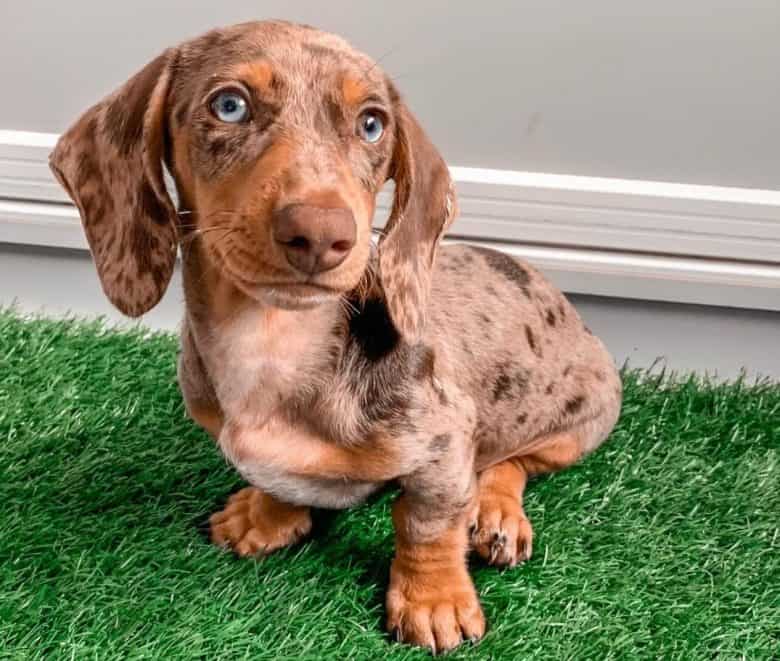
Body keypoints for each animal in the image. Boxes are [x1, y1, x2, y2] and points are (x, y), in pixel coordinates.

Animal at [48, 19, 620, 648]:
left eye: (372, 123)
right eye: (229, 105)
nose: (320, 235)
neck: (272, 343)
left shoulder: (445, 441)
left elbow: (426, 522)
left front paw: (433, 599)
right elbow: (281, 484)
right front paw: (266, 516)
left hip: (584, 420)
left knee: (512, 464)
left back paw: (496, 515)